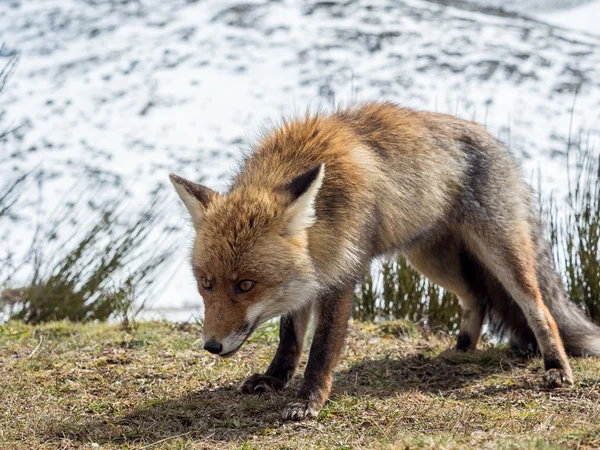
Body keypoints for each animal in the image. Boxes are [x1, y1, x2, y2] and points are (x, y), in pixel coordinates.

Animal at [169, 102, 600, 422]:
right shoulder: (309, 276)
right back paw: (462, 349)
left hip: (502, 253)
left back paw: (556, 368)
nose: (211, 346)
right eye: (206, 283)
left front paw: (308, 401)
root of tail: (496, 141)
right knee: (476, 297)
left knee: (539, 307)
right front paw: (275, 379)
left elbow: (321, 350)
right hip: (429, 260)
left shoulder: (341, 273)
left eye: (246, 285)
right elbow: (290, 338)